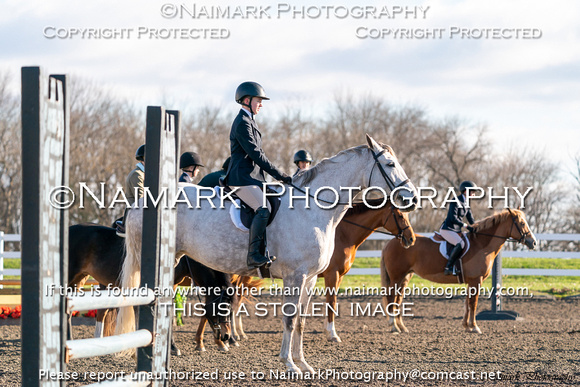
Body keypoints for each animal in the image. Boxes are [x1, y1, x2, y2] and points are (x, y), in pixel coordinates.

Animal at [318, 200, 416, 342]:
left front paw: (328, 330)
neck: (342, 235)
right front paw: (332, 334)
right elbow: (332, 301)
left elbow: (330, 301)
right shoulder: (332, 274)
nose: (412, 239)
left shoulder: (339, 276)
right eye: (400, 216)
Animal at [380, 211, 540, 334]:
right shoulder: (476, 280)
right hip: (397, 277)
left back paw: (401, 327)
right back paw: (393, 326)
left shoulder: (471, 281)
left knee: (398, 299)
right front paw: (474, 327)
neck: (481, 244)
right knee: (391, 297)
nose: (533, 242)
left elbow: (467, 303)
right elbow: (473, 303)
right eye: (522, 223)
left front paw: (466, 326)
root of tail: (391, 242)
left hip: (405, 277)